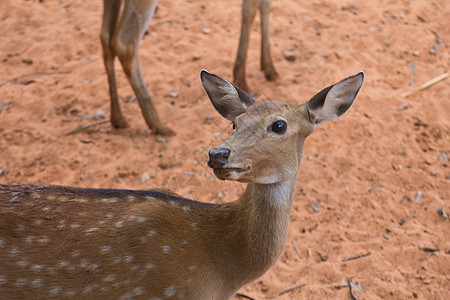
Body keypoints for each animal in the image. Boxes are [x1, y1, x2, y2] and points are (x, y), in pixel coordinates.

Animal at [100, 0, 280, 135]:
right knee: (124, 43)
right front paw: (241, 77)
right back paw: (157, 124)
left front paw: (269, 67)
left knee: (105, 36)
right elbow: (250, 10)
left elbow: (265, 5)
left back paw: (118, 119)